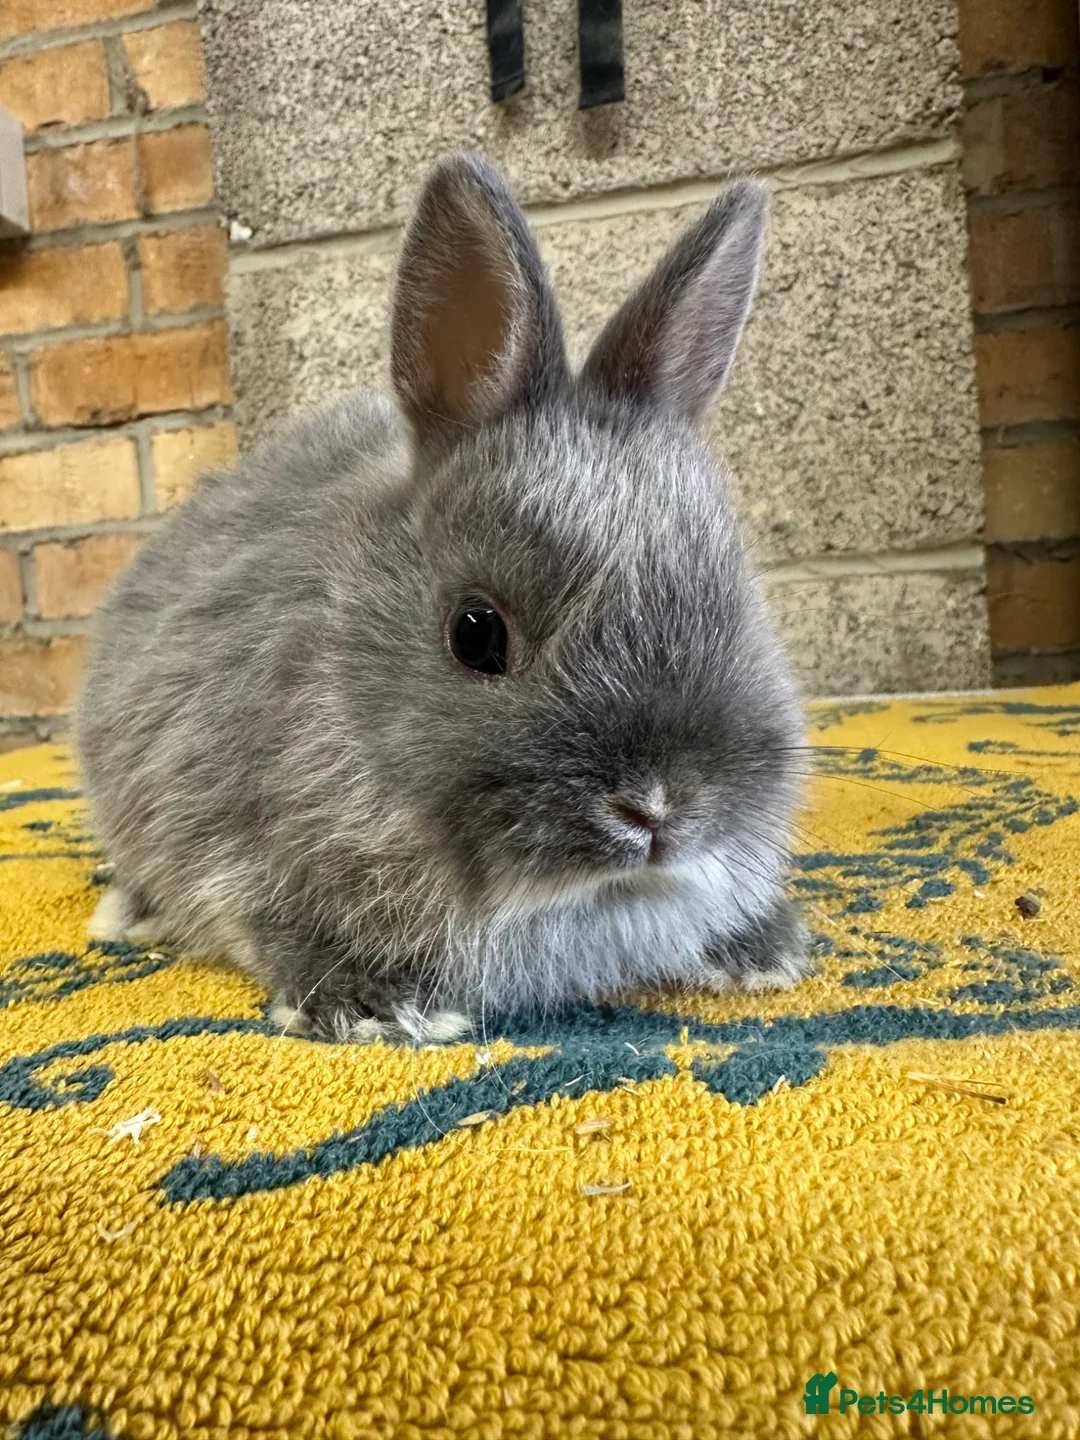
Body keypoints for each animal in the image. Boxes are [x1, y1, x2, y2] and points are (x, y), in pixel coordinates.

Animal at [76, 152, 810, 1046]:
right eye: (476, 634)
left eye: (738, 606)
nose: (657, 810)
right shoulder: (220, 826)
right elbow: (264, 918)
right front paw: (373, 1006)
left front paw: (762, 950)